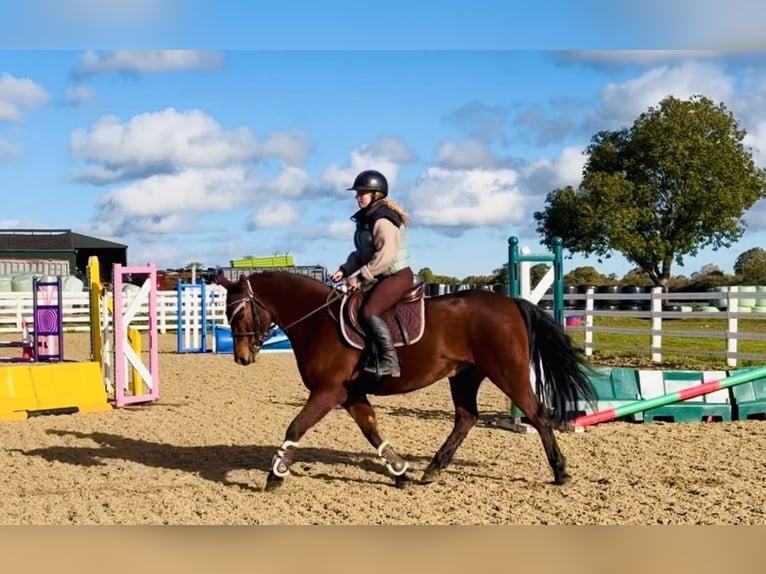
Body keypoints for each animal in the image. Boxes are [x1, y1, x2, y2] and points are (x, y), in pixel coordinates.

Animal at [214, 270, 596, 492]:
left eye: (238, 312)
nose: (242, 357)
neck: (318, 321)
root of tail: (510, 303)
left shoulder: (327, 392)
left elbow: (295, 427)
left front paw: (275, 473)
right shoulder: (349, 394)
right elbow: (371, 429)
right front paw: (399, 471)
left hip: (508, 372)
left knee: (537, 415)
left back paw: (560, 472)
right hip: (465, 376)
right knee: (466, 417)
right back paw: (432, 469)